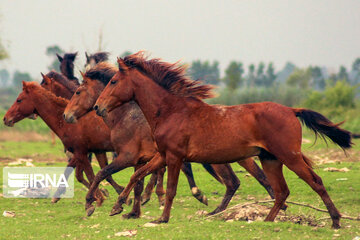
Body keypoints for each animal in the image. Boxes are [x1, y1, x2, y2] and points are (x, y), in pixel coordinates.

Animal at [94, 52, 352, 229]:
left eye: (114, 81)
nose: (98, 107)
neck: (171, 111)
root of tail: (291, 110)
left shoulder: (175, 157)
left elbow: (170, 189)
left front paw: (162, 218)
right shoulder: (162, 156)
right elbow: (138, 174)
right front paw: (118, 206)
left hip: (289, 157)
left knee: (315, 182)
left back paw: (336, 221)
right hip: (270, 160)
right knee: (281, 192)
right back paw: (267, 221)